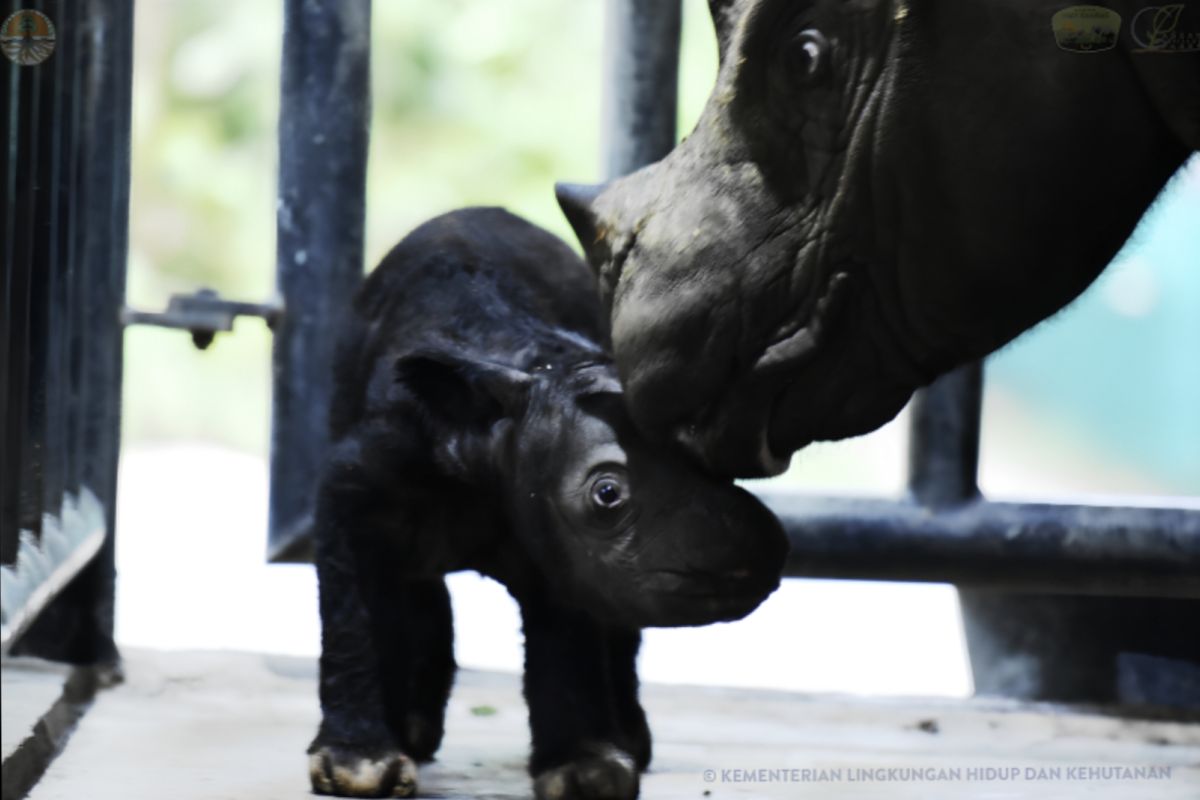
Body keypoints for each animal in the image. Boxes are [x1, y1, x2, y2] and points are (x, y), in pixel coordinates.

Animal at [307, 208, 787, 800]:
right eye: (607, 494)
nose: (762, 552)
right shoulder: (354, 485)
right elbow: (351, 610)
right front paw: (359, 765)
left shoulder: (560, 542)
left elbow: (570, 627)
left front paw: (585, 772)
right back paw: (413, 732)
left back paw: (628, 740)